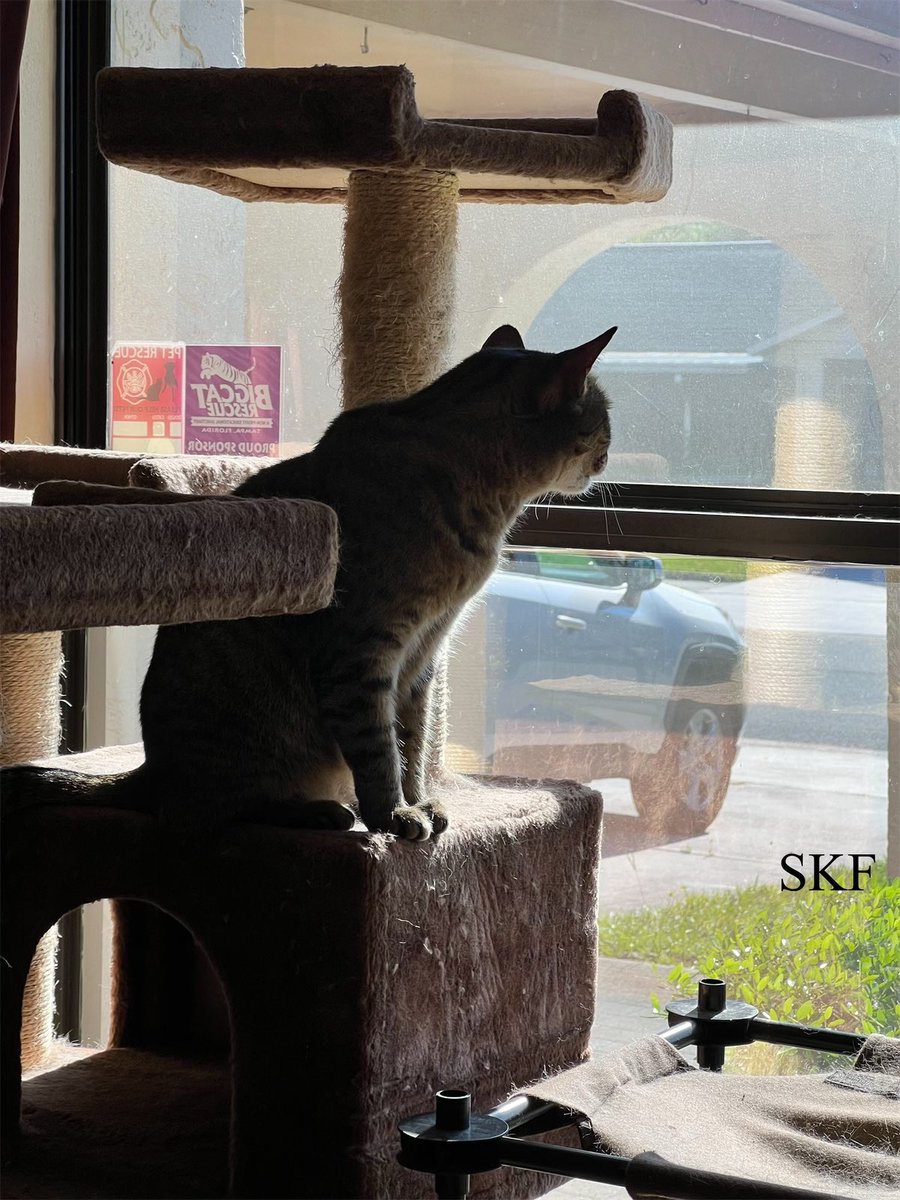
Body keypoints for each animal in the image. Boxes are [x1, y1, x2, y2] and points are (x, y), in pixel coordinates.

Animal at [0, 324, 619, 840]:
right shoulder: (364, 651)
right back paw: (319, 813)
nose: (609, 456)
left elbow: (412, 744)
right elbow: (379, 751)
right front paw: (393, 817)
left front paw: (419, 801)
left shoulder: (423, 656)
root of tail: (149, 769)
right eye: (604, 418)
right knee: (207, 812)